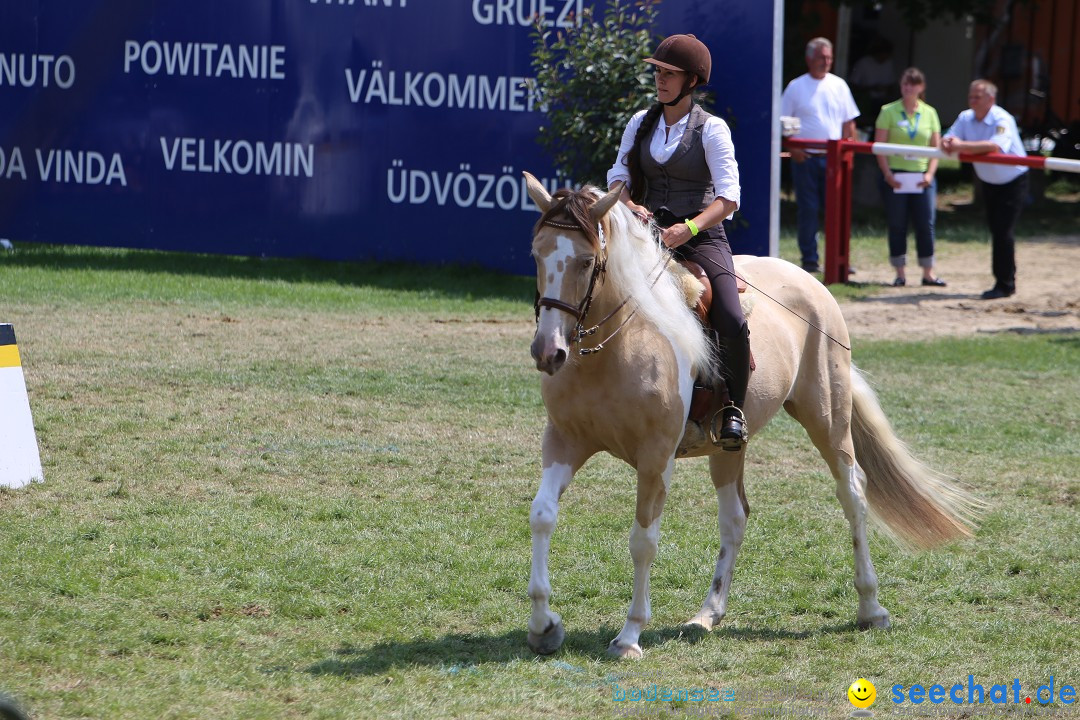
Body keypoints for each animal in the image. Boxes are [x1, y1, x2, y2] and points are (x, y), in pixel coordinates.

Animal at [518, 172, 984, 660]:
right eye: (537, 254)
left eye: (587, 261)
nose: (549, 352)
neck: (618, 346)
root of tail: (810, 282)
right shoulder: (564, 442)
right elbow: (542, 515)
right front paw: (543, 625)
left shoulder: (655, 459)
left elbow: (643, 541)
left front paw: (629, 636)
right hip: (727, 446)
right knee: (735, 517)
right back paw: (708, 613)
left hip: (828, 421)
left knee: (853, 494)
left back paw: (871, 608)